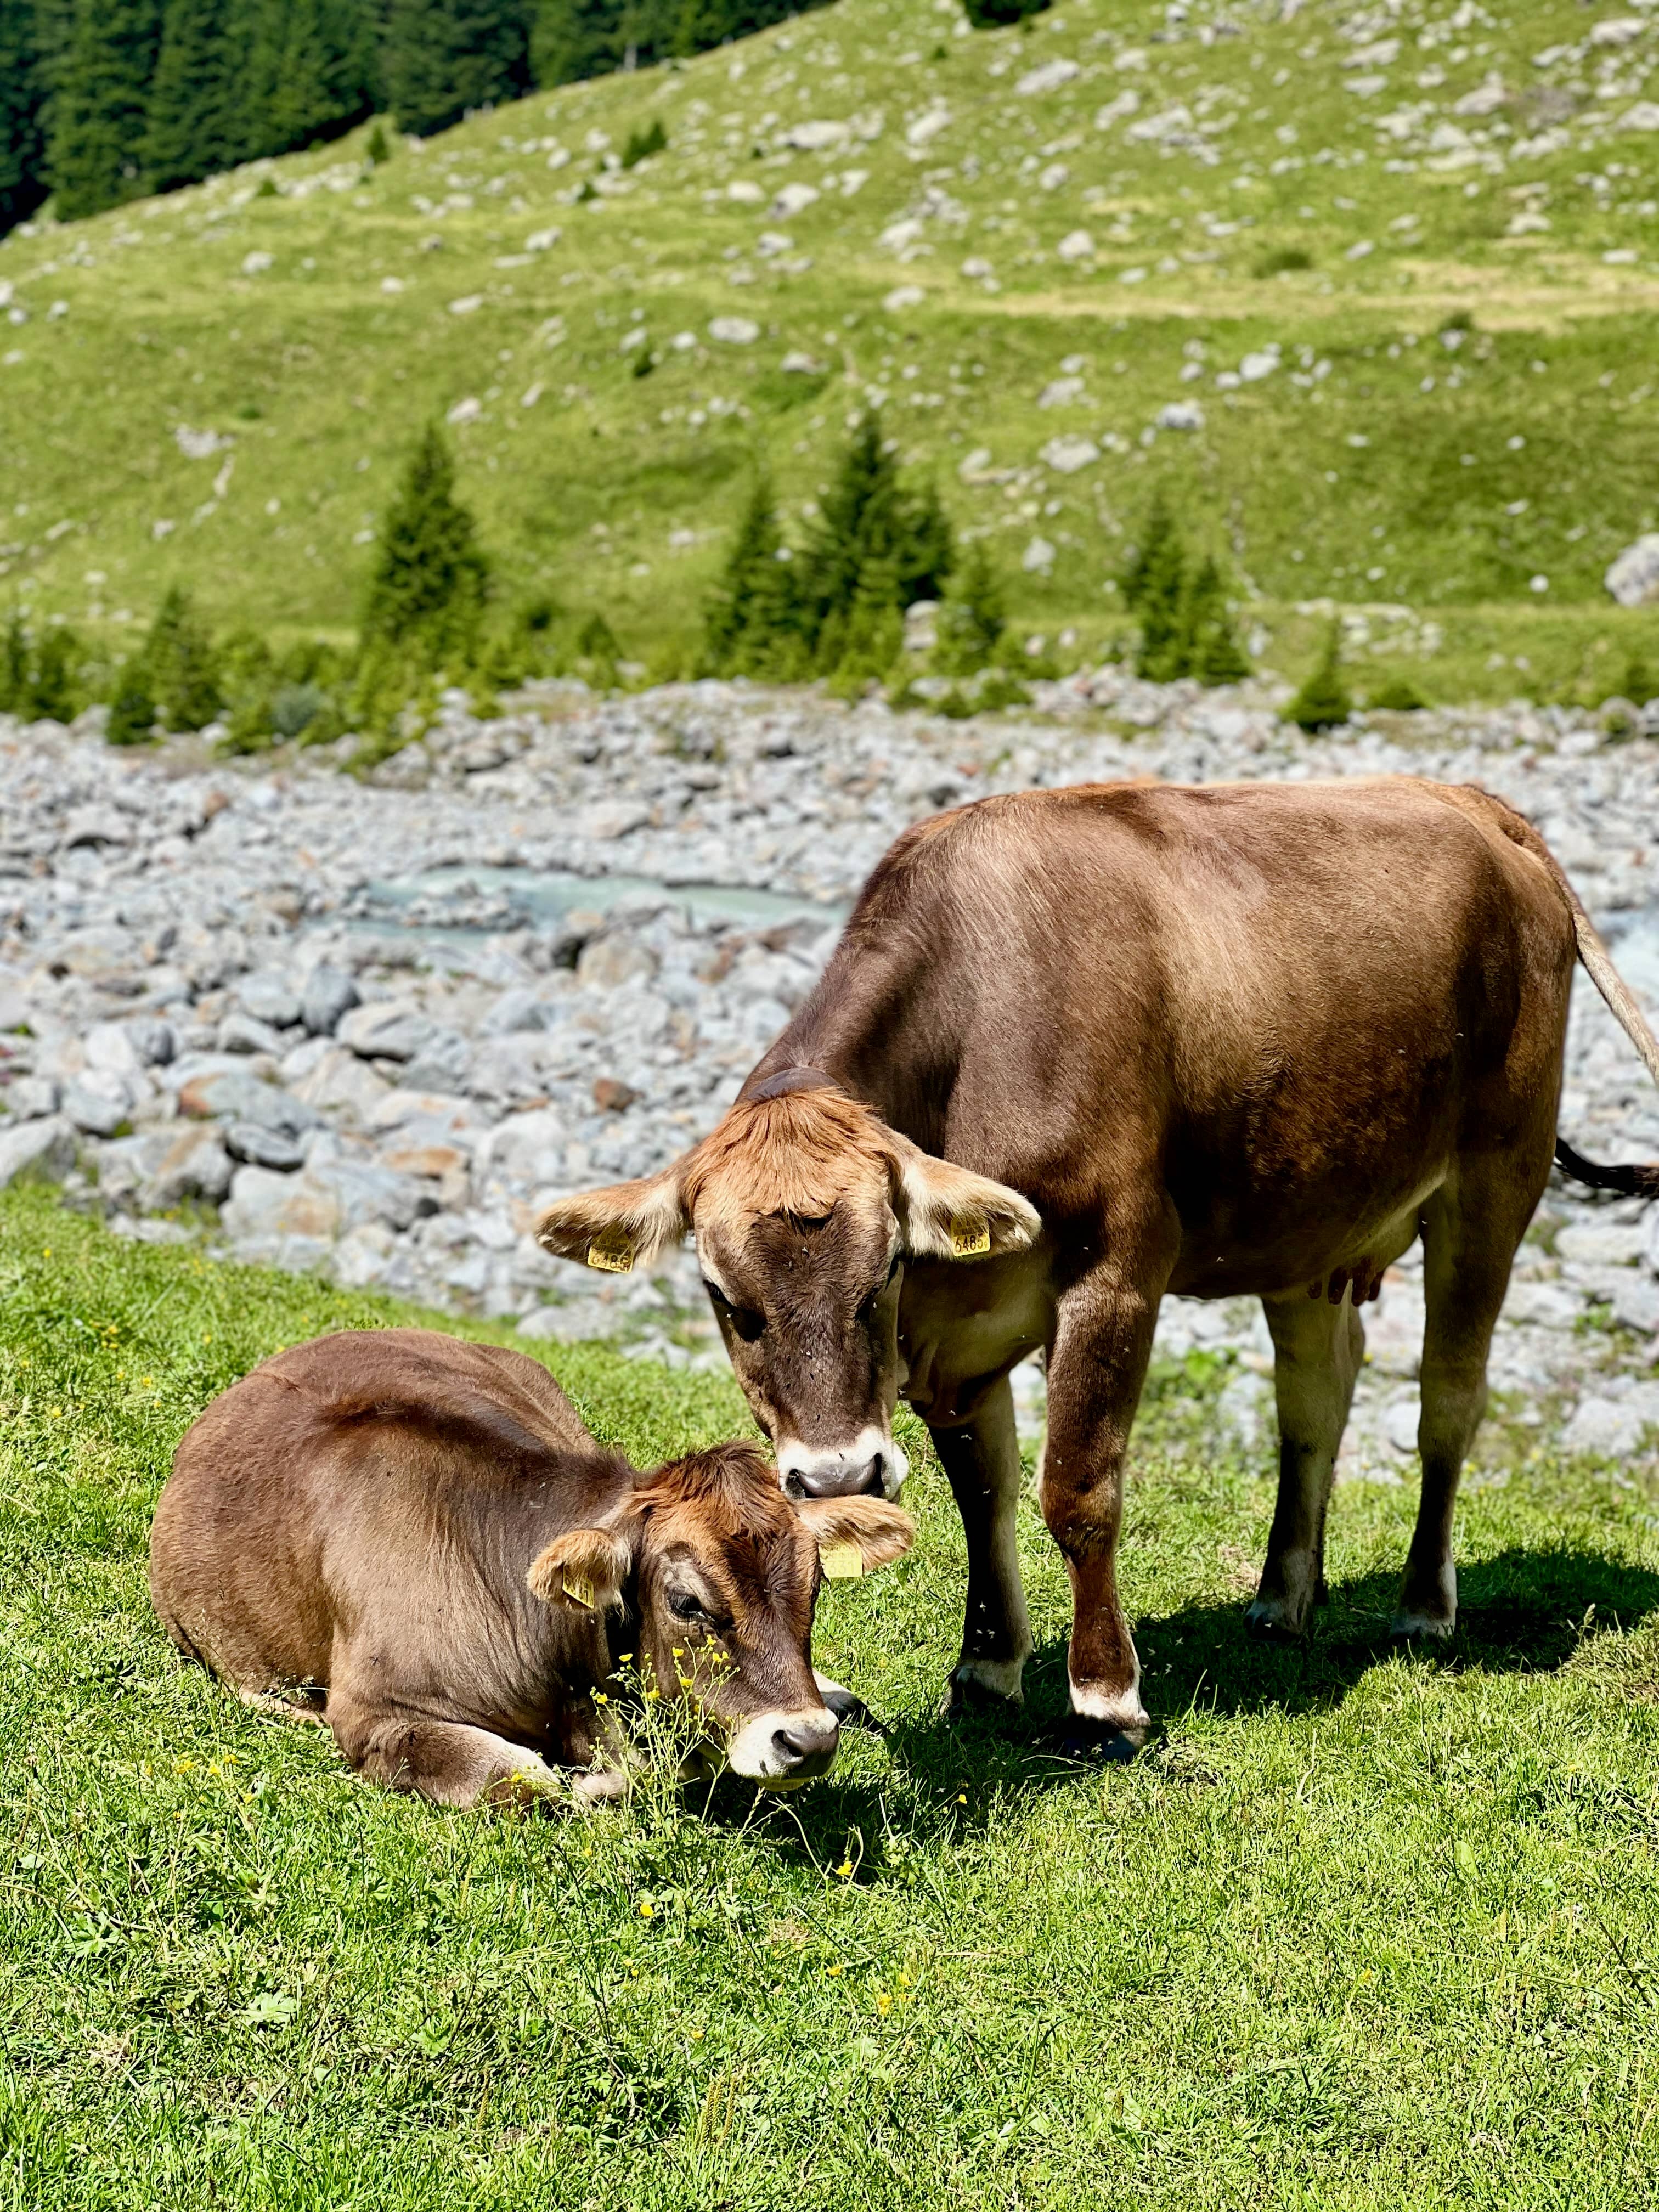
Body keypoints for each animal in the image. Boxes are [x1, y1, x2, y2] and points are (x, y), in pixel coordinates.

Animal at [541, 778, 1659, 1760]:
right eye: (728, 1303)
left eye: (882, 1275)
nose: (837, 1476)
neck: (976, 1044)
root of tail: (1473, 803)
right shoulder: (954, 1339)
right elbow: (981, 1496)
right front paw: (986, 1666)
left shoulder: (1117, 1270)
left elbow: (1074, 1490)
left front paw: (1106, 1695)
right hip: (1312, 1219)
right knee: (1314, 1399)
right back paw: (1281, 1595)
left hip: (1495, 1179)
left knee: (1447, 1403)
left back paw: (1424, 1606)